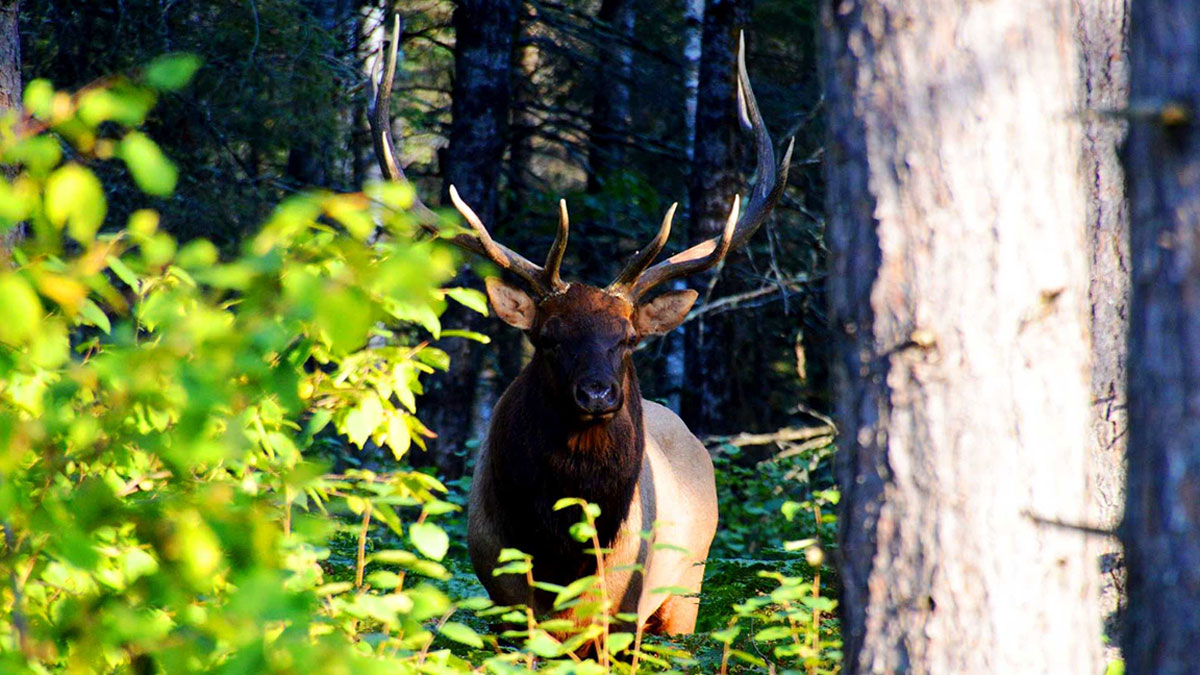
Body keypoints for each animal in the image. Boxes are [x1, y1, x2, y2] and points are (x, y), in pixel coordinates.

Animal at [369, 18, 792, 634]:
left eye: (628, 340)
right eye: (547, 338)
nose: (597, 393)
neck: (562, 556)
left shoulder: (626, 609)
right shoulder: (505, 600)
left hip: (686, 589)